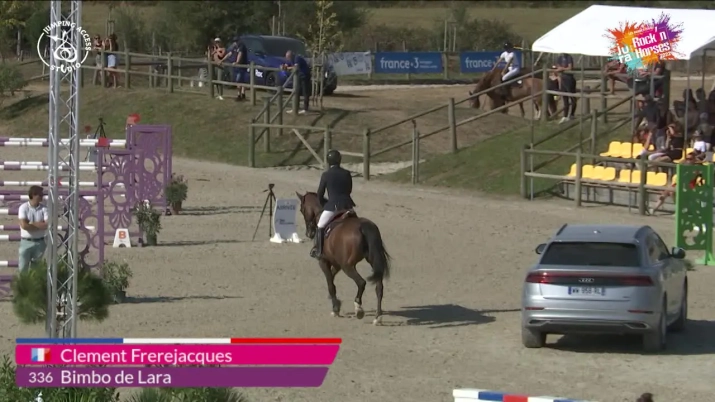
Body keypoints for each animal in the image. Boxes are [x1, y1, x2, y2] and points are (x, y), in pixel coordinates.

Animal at [295, 191, 391, 325]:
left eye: (301, 210)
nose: (309, 233)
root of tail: (363, 226)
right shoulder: (337, 263)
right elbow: (332, 278)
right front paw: (335, 301)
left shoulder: (323, 261)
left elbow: (330, 283)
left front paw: (335, 308)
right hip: (372, 262)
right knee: (379, 288)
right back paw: (378, 317)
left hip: (348, 266)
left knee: (361, 282)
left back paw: (358, 309)